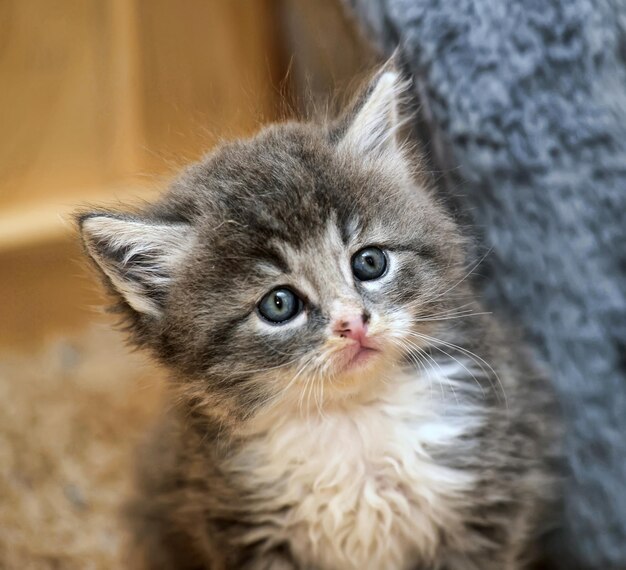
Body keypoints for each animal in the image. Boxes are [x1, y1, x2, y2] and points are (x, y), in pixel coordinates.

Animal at [75, 64, 560, 564]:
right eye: (279, 304)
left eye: (370, 262)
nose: (353, 323)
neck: (351, 418)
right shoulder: (243, 525)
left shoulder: (485, 506)